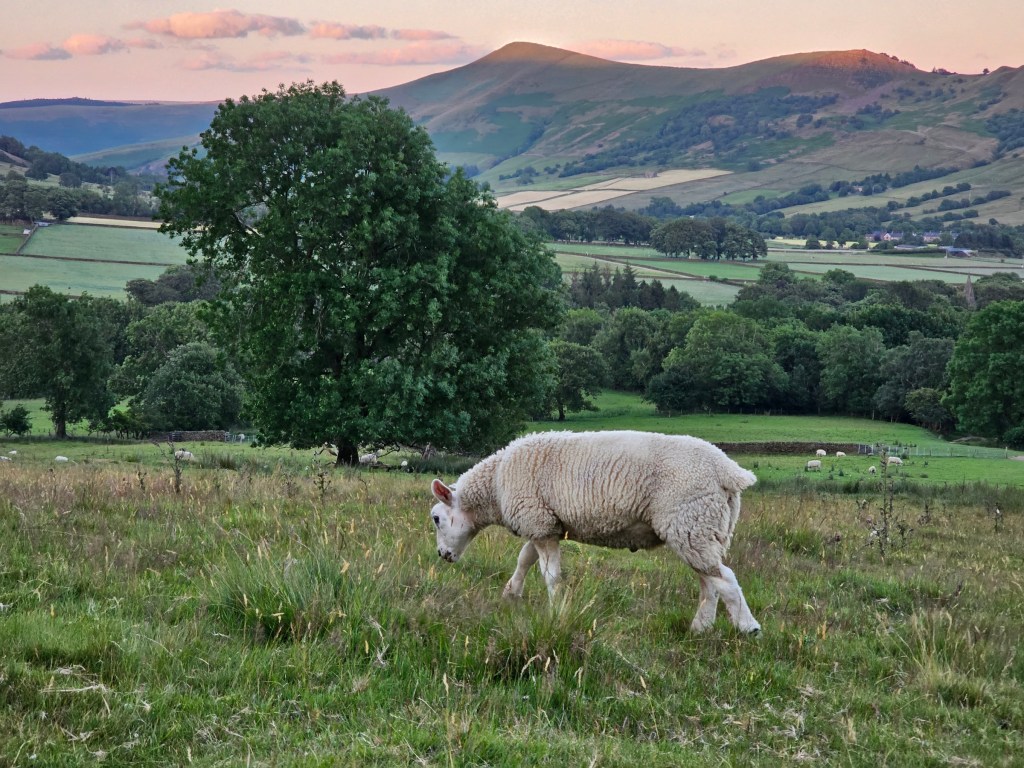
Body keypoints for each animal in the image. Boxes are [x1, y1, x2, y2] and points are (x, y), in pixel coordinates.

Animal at [429, 430, 761, 635]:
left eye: (436, 519)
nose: (442, 555)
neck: (496, 486)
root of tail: (729, 471)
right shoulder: (543, 523)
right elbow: (525, 559)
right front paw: (511, 594)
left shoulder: (537, 521)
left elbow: (550, 575)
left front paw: (556, 611)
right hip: (700, 530)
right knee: (709, 583)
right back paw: (700, 628)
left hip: (691, 522)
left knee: (725, 579)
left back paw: (748, 627)